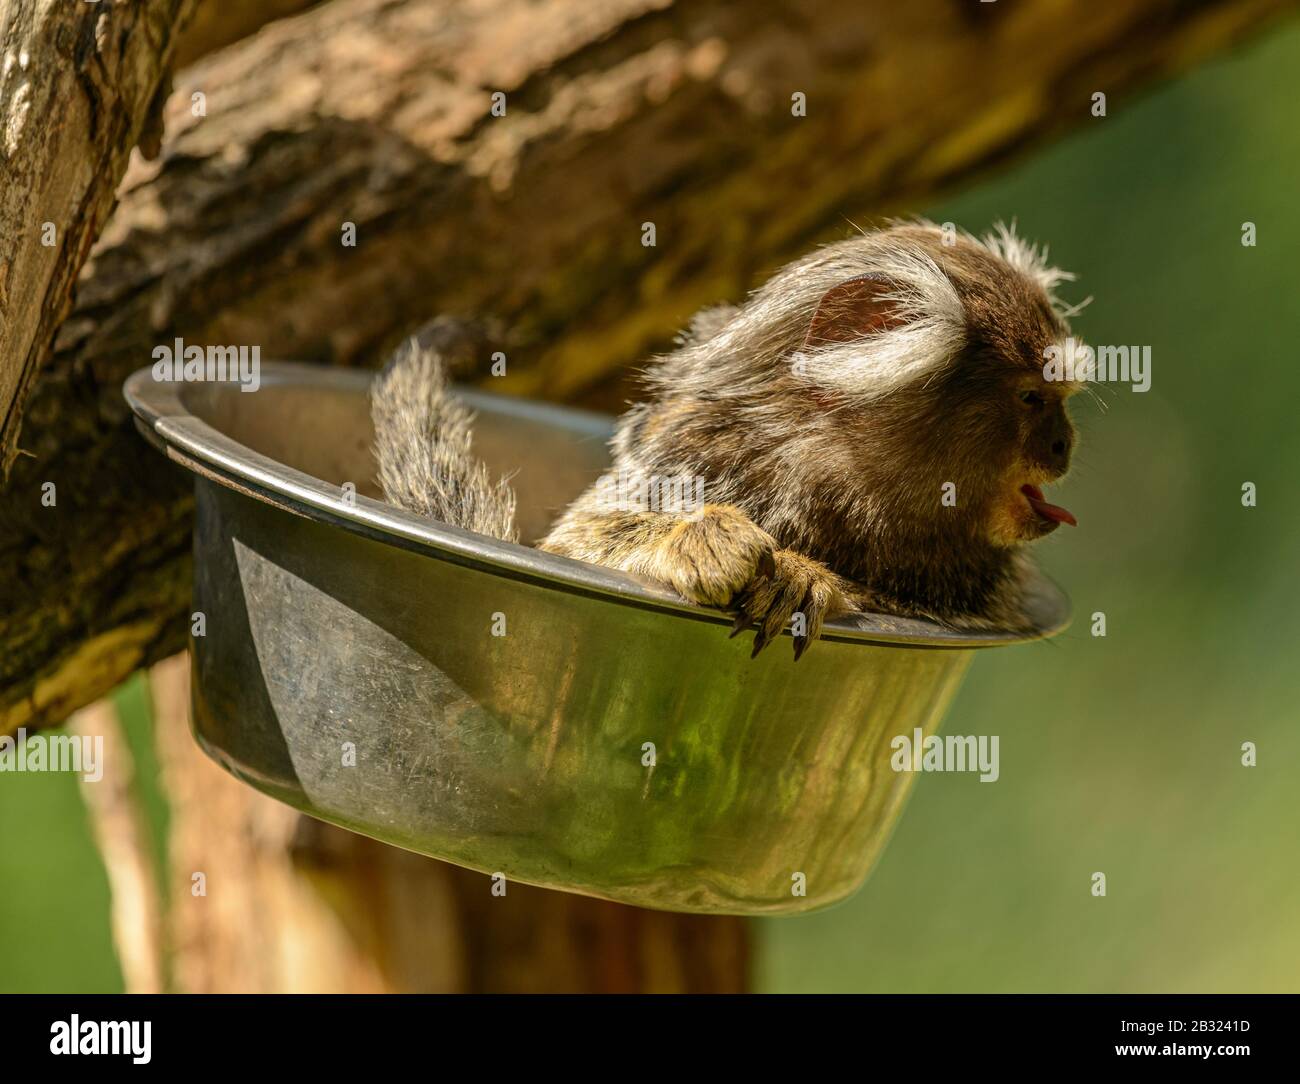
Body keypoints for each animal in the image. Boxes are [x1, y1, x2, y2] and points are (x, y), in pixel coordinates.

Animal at [371, 219, 1081, 655]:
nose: (1064, 445)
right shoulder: (690, 448)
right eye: (1031, 398)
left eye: (1061, 401)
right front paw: (702, 540)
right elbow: (575, 544)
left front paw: (799, 576)